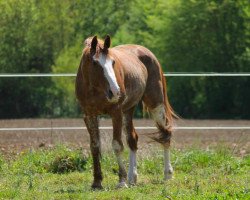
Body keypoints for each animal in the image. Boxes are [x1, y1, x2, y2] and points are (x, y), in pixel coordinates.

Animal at [75, 34, 175, 189]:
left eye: (113, 62)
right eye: (95, 63)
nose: (115, 91)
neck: (94, 89)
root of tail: (148, 52)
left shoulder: (116, 113)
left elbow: (117, 145)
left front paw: (121, 181)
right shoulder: (89, 116)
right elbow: (95, 146)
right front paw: (97, 181)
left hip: (156, 104)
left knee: (165, 134)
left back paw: (167, 174)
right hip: (128, 110)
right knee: (132, 139)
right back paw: (132, 177)